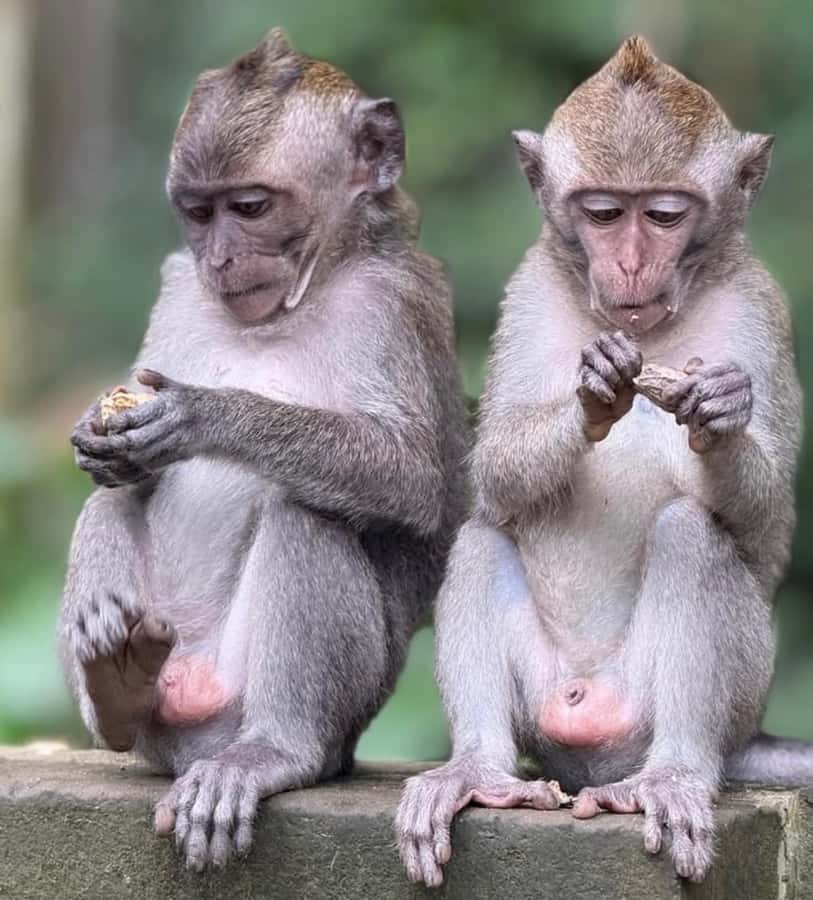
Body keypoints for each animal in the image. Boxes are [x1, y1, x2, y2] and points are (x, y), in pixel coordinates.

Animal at [60, 29, 469, 870]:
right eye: (197, 212)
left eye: (249, 207)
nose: (219, 259)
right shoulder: (177, 284)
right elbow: (118, 472)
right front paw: (97, 435)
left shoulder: (389, 305)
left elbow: (409, 479)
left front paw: (203, 414)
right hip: (164, 691)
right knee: (111, 504)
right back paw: (117, 685)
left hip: (339, 701)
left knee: (307, 513)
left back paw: (275, 751)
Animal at [395, 35, 810, 885]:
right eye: (603, 213)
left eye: (663, 214)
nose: (627, 265)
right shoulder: (526, 291)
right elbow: (492, 476)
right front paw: (593, 393)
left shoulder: (761, 304)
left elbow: (766, 528)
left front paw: (720, 417)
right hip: (544, 706)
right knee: (481, 536)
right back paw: (476, 770)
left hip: (732, 693)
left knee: (690, 534)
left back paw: (673, 775)